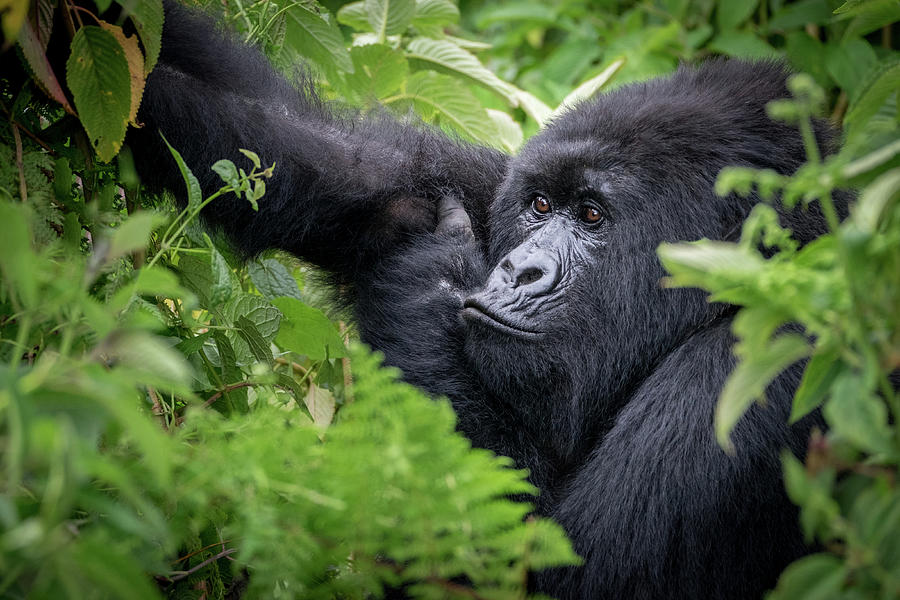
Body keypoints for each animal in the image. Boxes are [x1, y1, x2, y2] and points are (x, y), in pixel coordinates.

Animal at [134, 3, 844, 596]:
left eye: (592, 215)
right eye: (540, 205)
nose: (519, 269)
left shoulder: (751, 377)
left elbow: (549, 574)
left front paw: (430, 282)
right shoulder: (481, 186)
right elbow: (307, 152)